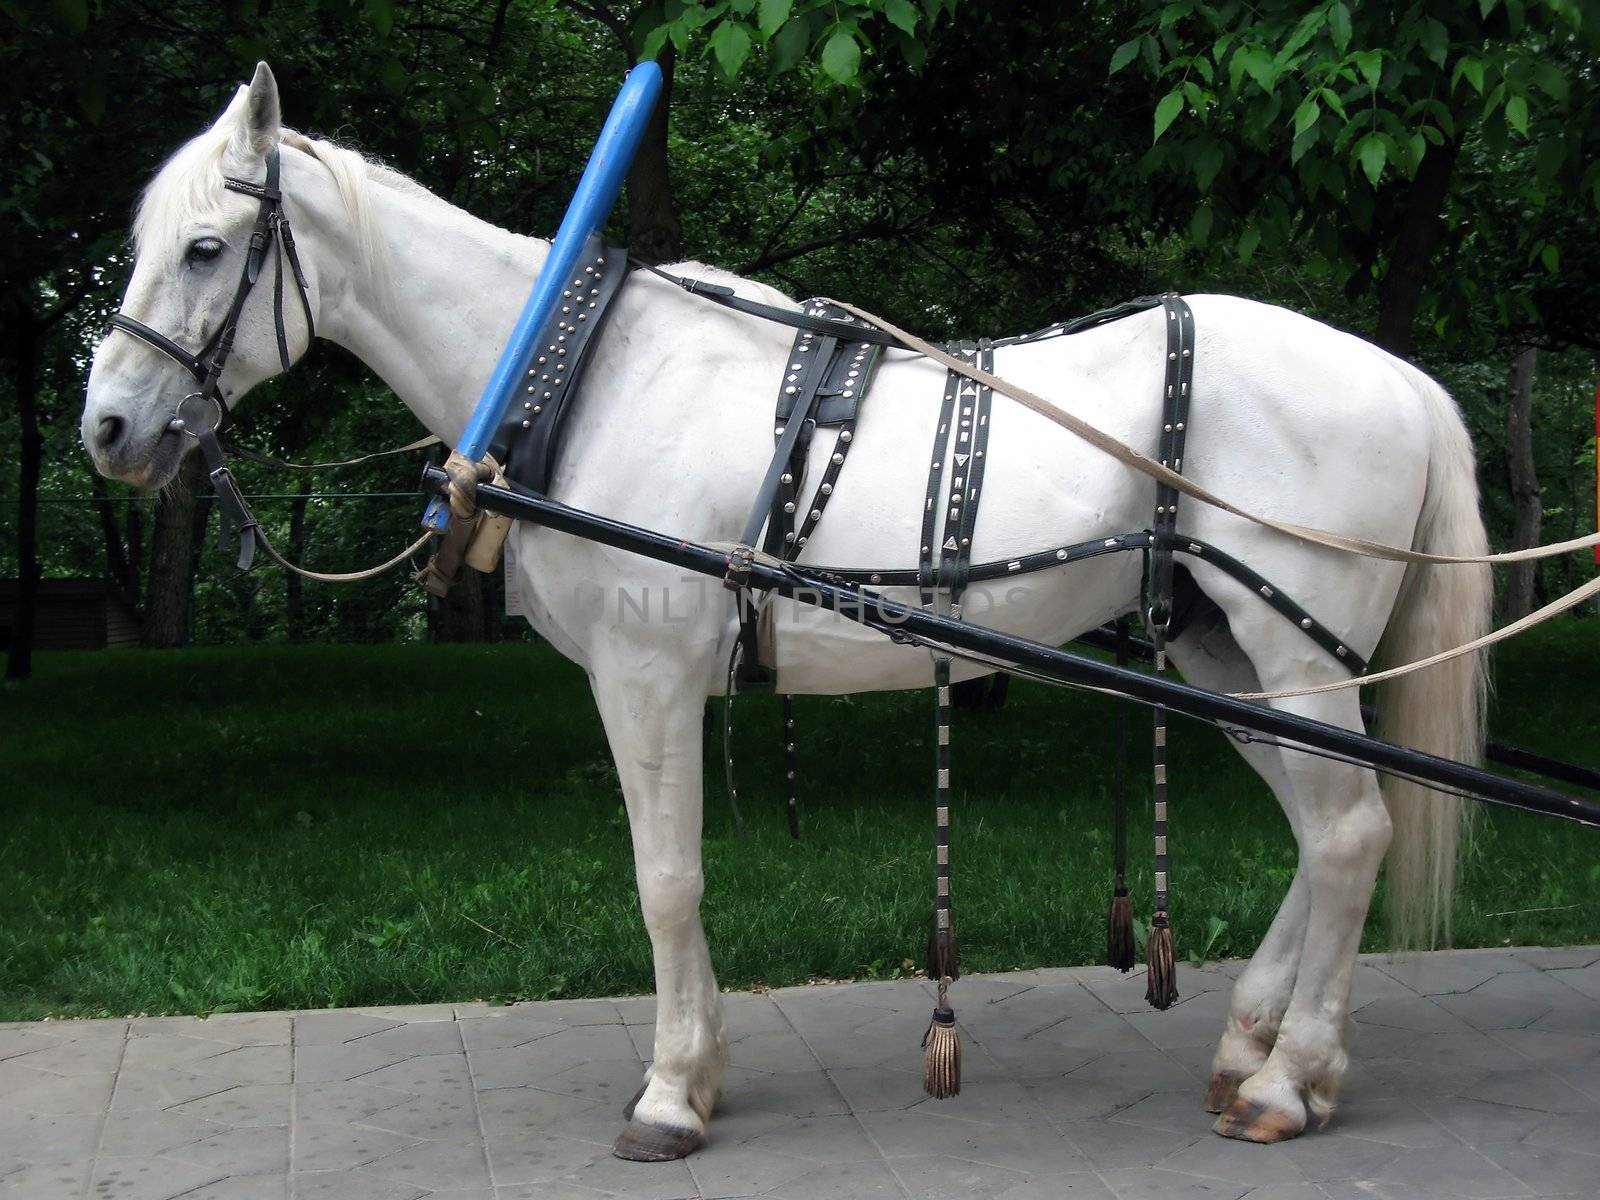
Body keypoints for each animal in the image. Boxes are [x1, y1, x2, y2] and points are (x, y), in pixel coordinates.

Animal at [84, 65, 1484, 1158]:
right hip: (1214, 646)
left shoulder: (643, 672)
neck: (578, 369)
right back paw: (1251, 1047)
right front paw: (697, 1064)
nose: (106, 430)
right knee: (1323, 825)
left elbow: (664, 877)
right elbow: (672, 878)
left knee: (1349, 830)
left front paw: (668, 1095)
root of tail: (1404, 378)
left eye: (206, 248)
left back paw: (1292, 1083)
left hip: (1293, 642)